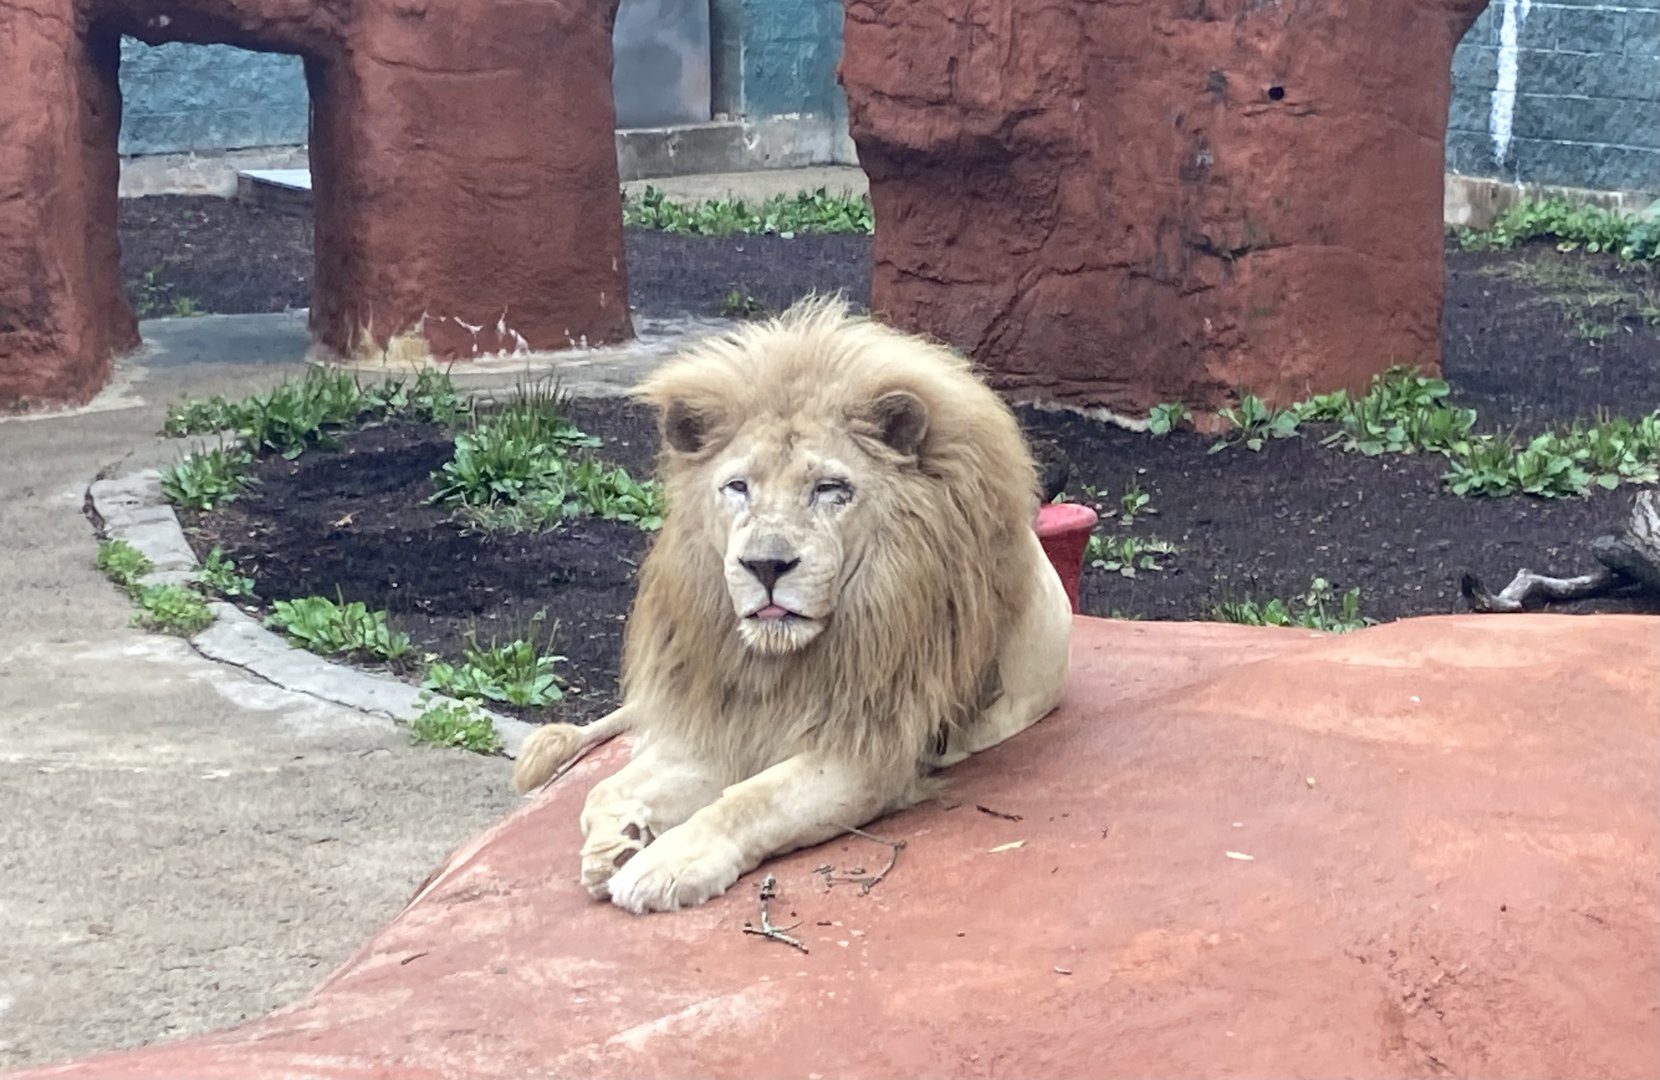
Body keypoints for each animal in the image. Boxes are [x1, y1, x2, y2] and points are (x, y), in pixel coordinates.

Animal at [509, 295, 1074, 914]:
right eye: (738, 487)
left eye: (830, 489)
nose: (765, 566)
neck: (784, 666)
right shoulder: (725, 723)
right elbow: (605, 789)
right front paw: (619, 844)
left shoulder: (869, 750)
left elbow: (750, 801)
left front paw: (665, 866)